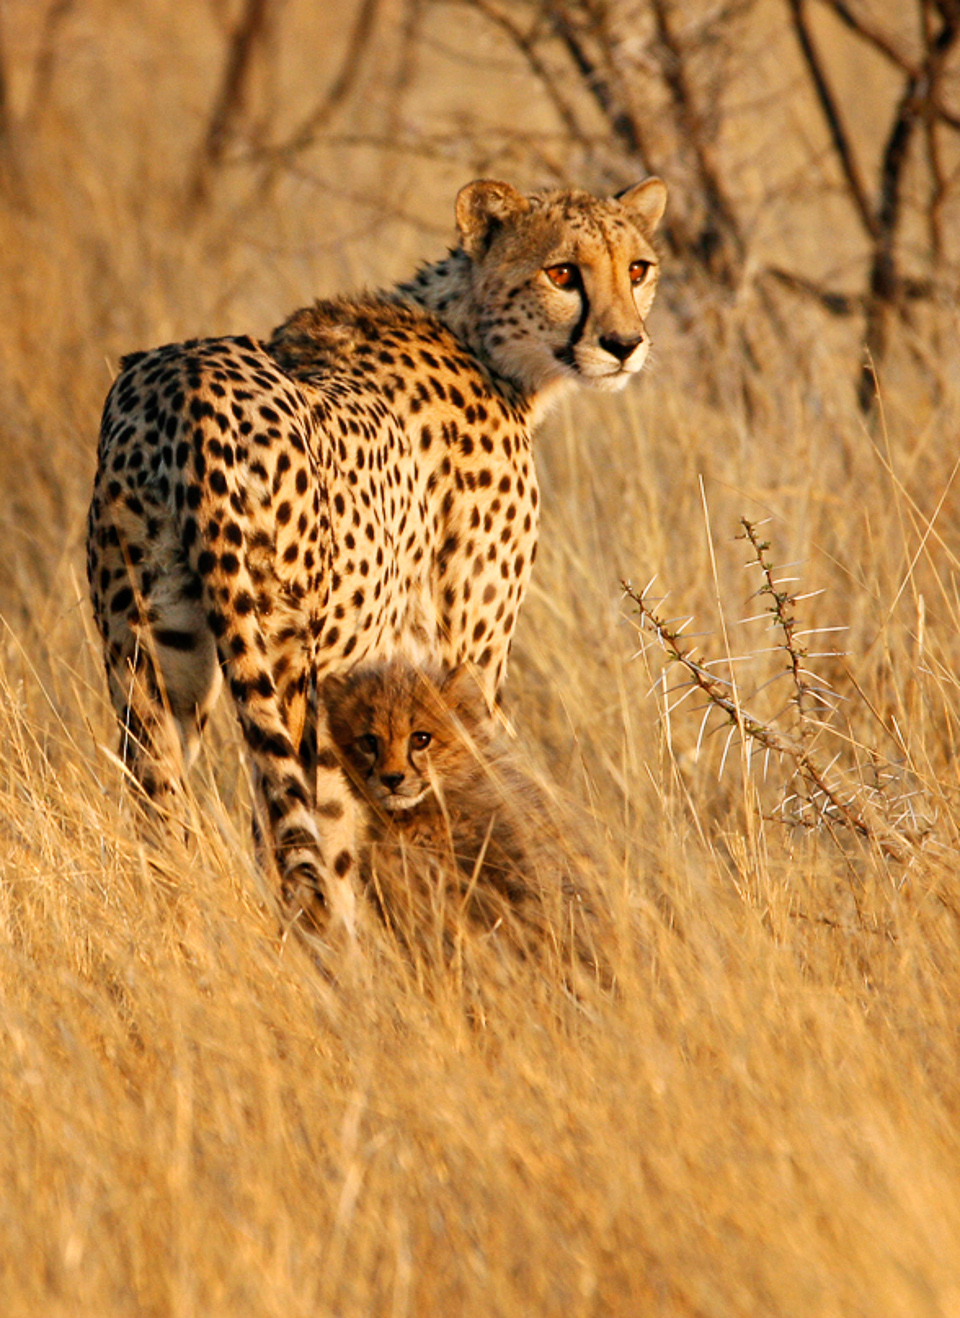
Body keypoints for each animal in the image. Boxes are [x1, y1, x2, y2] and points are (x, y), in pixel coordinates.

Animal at [88, 180, 667, 933]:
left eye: (638, 269)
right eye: (563, 272)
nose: (623, 345)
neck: (474, 333)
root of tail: (189, 379)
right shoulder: (468, 660)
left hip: (153, 652)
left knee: (160, 810)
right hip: (282, 660)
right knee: (288, 834)